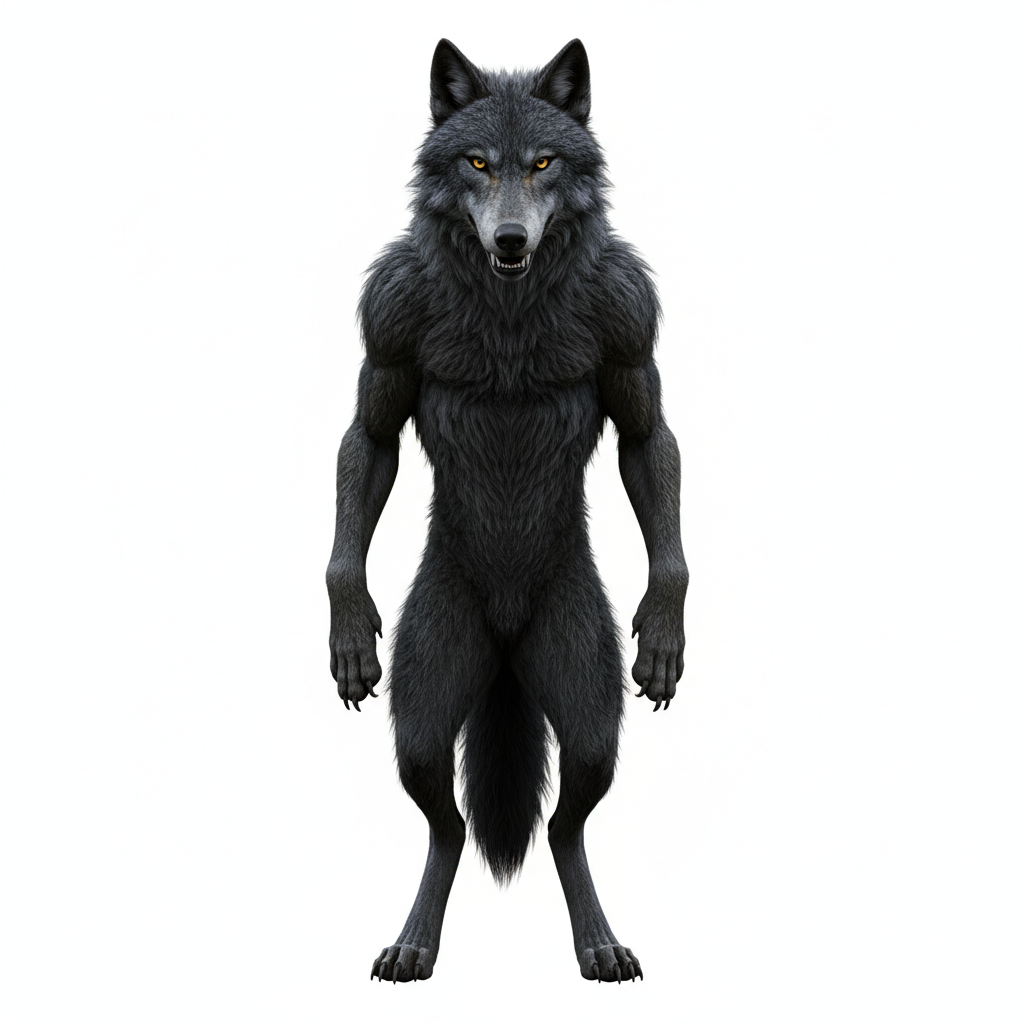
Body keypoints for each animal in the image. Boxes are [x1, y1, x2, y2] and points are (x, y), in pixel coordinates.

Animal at [326, 38, 688, 983]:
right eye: (478, 164)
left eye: (544, 163)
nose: (513, 238)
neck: (509, 304)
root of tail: (506, 645)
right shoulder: (386, 324)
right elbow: (367, 440)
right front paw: (348, 627)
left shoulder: (632, 326)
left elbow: (649, 442)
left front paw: (665, 629)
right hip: (422, 714)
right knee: (448, 825)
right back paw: (414, 944)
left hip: (591, 715)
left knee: (565, 825)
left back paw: (599, 944)